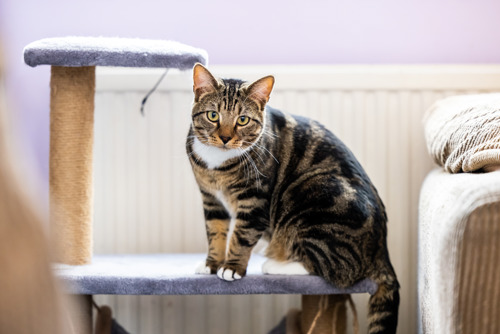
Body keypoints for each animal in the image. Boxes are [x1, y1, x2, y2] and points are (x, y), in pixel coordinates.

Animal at [186, 64, 400, 332]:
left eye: (242, 119)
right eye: (213, 115)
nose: (225, 138)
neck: (217, 165)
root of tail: (382, 249)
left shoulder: (255, 199)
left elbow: (241, 236)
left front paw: (232, 268)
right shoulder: (211, 199)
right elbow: (215, 232)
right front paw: (212, 264)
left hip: (313, 196)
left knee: (336, 270)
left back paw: (274, 263)